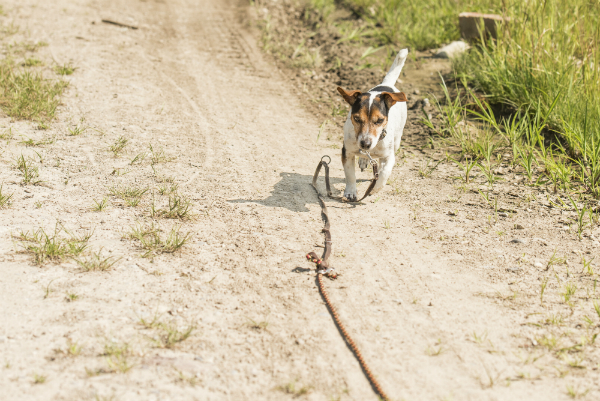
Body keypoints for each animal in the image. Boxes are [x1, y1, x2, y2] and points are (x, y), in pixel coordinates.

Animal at [338, 47, 408, 200]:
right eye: (357, 119)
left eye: (380, 121)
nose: (365, 144)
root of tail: (388, 85)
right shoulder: (347, 152)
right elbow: (350, 175)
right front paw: (350, 191)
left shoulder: (389, 156)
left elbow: (384, 173)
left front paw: (375, 187)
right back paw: (363, 160)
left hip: (397, 140)